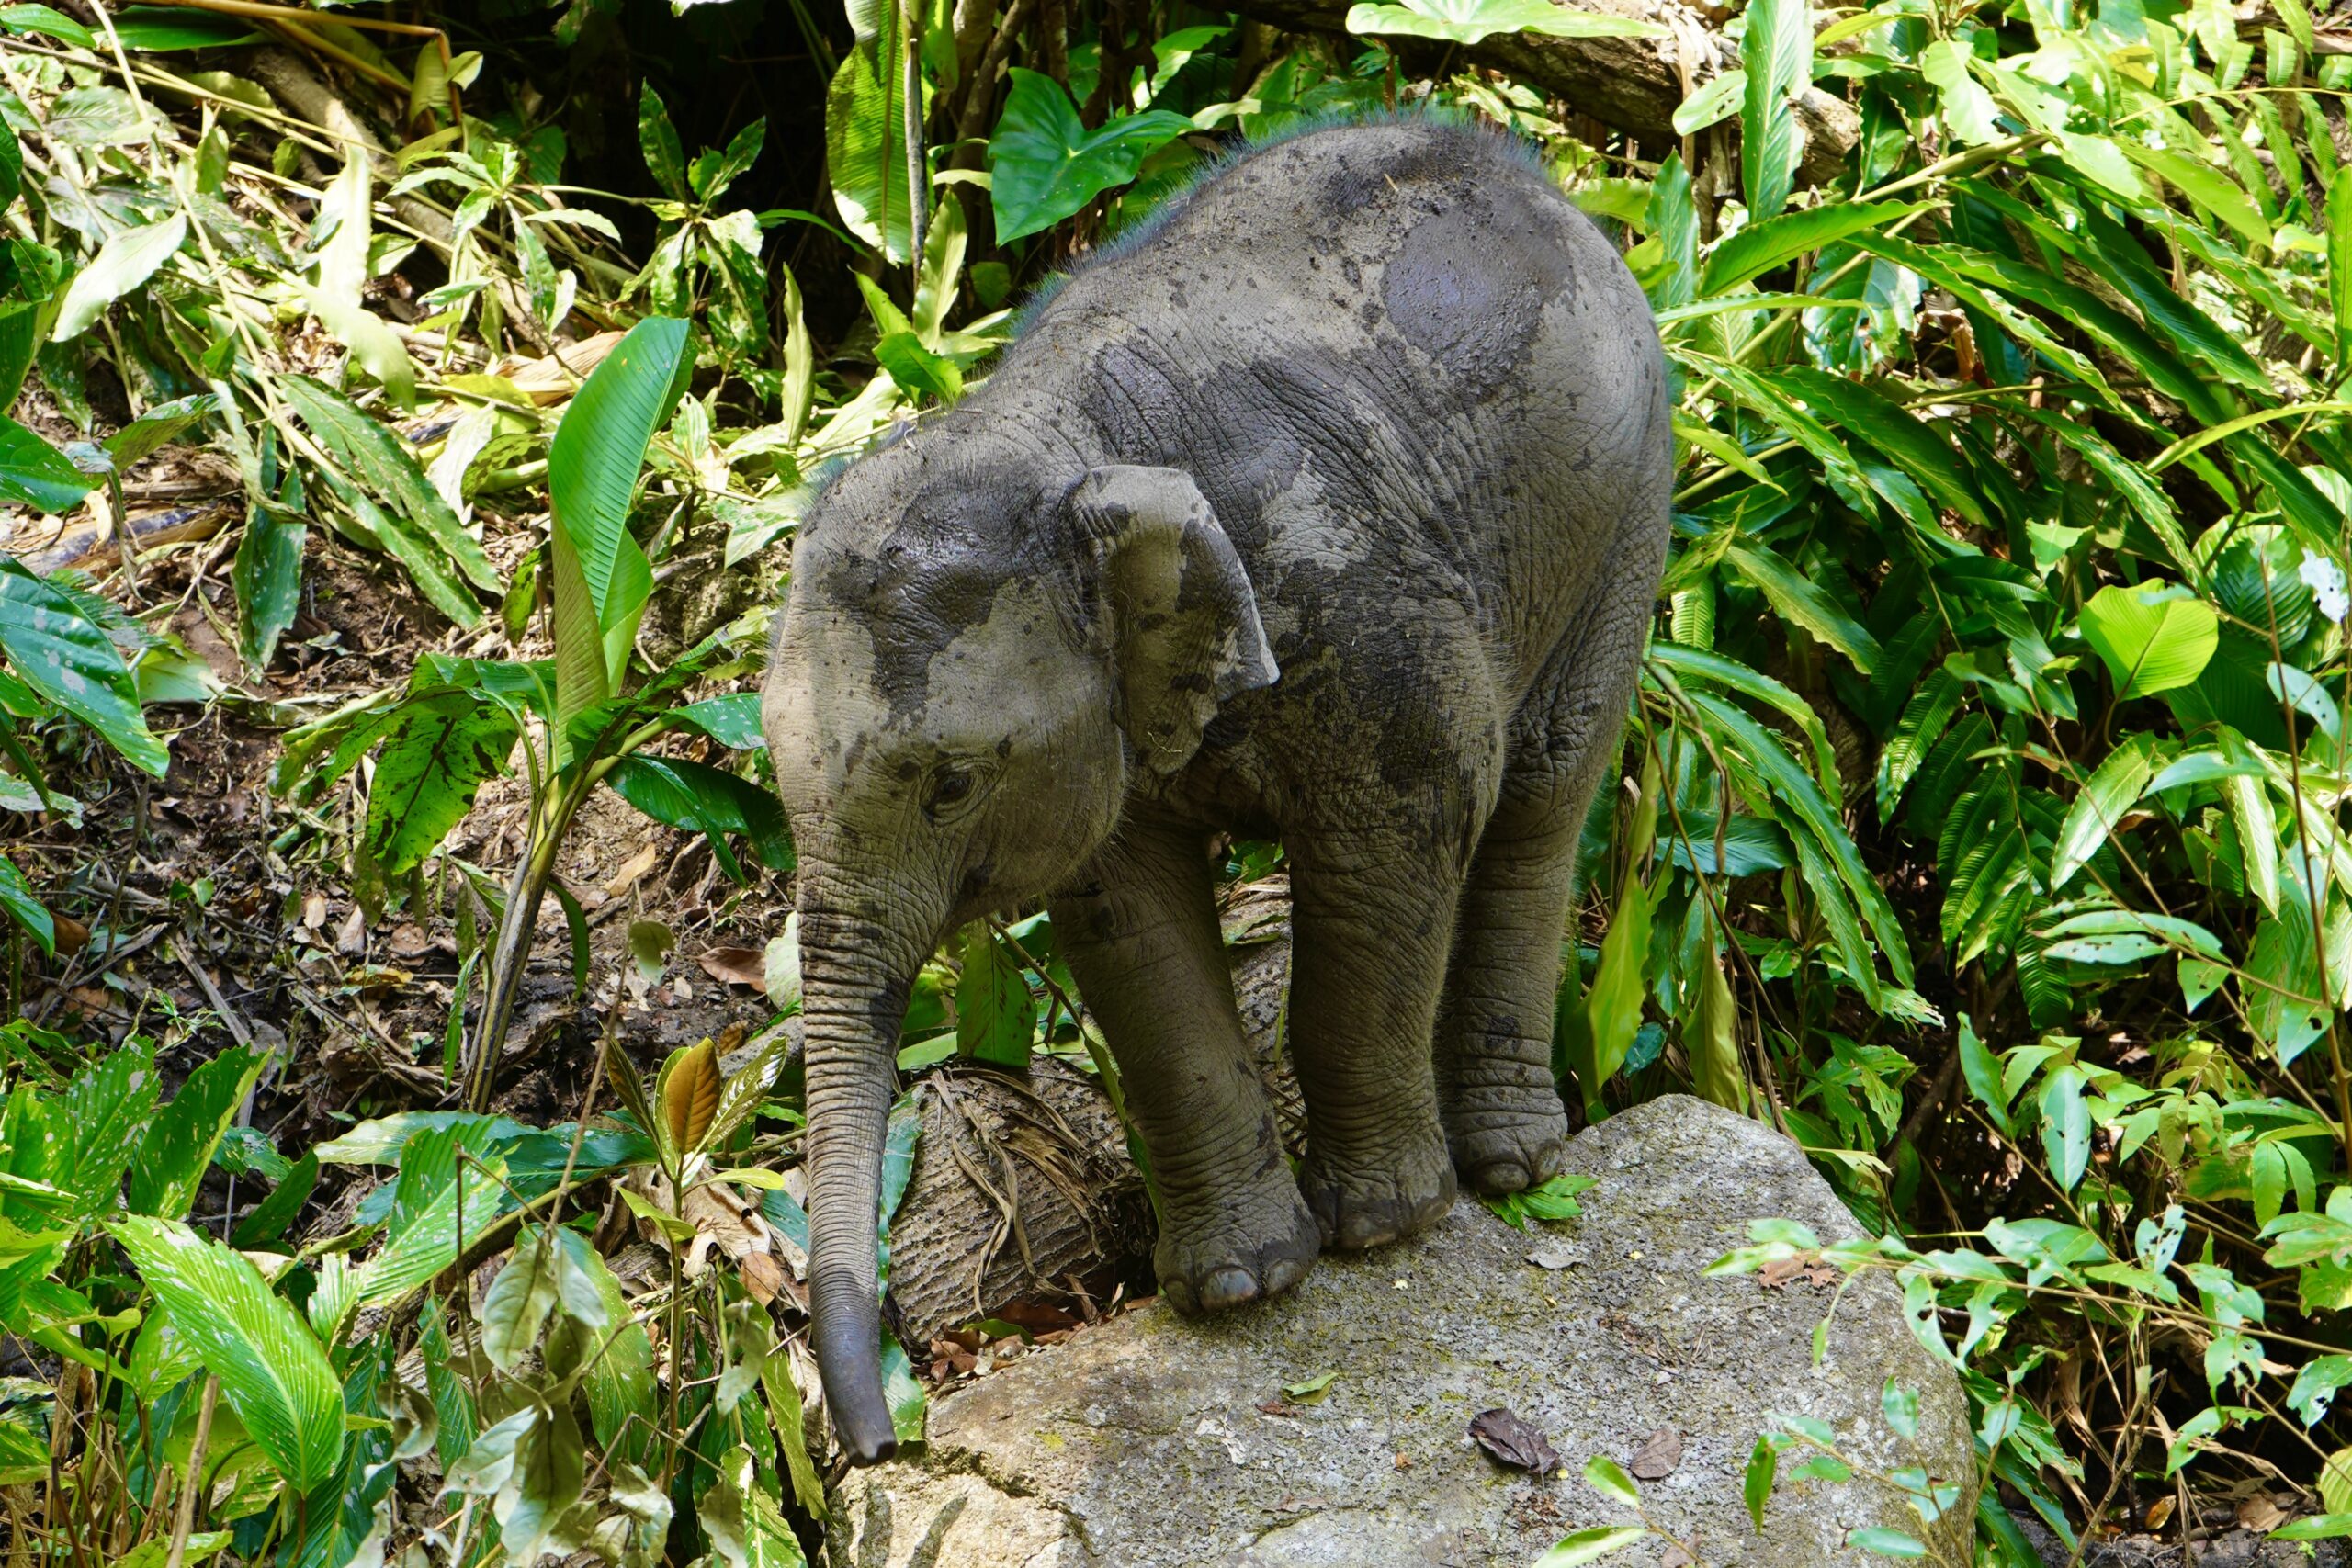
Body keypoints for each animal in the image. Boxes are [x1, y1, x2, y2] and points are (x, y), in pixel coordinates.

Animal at [761, 113, 1674, 1464]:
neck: (1057, 435)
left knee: (1544, 787)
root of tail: (1530, 169)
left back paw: (1512, 1165)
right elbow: (1129, 926)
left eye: (952, 785)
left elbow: (1412, 823)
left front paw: (1386, 1228)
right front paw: (1241, 1285)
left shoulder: (1367, 606)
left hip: (1629, 495)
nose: (880, 1442)